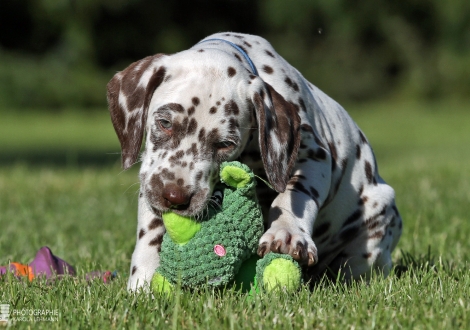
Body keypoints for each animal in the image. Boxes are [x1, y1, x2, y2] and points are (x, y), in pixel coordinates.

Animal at [105, 32, 400, 290]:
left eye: (225, 144)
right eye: (165, 123)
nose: (176, 198)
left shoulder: (313, 155)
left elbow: (293, 193)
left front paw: (286, 232)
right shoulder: (151, 178)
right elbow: (151, 229)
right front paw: (143, 282)